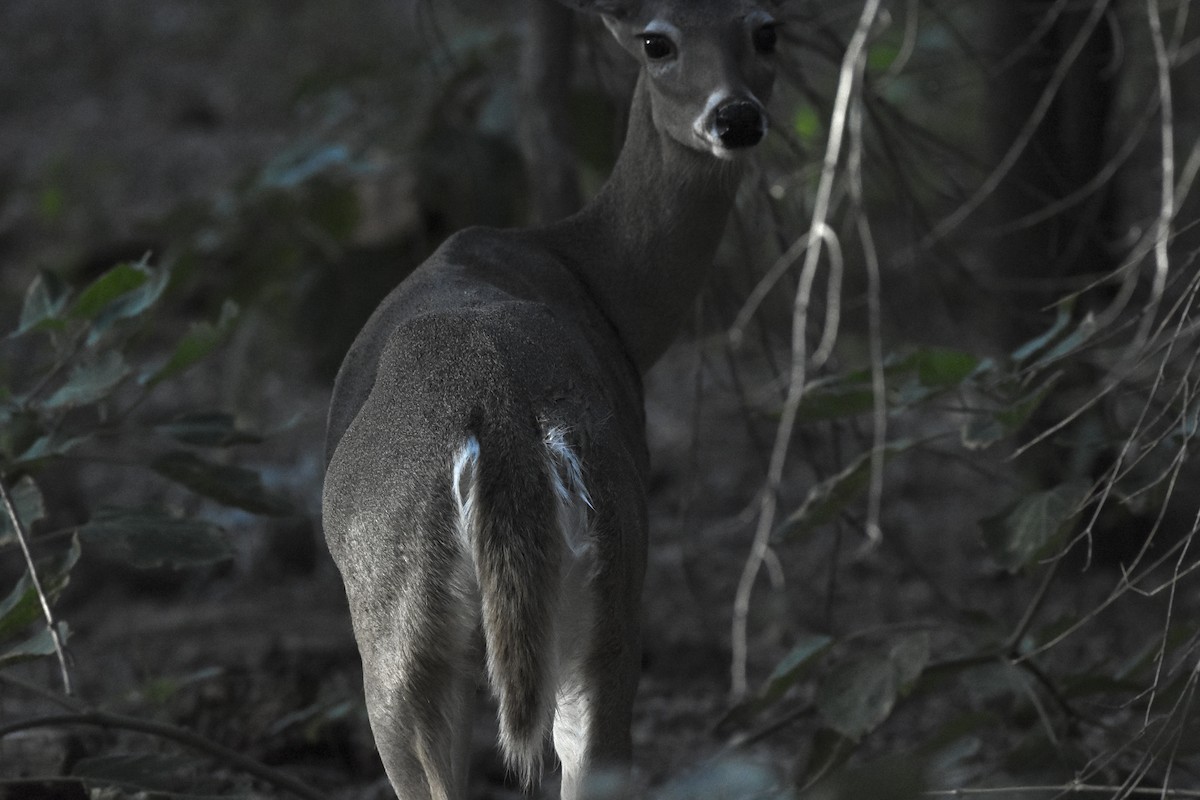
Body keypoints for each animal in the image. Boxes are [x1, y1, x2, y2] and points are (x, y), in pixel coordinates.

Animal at [321, 1, 782, 797]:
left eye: (765, 30)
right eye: (655, 41)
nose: (736, 116)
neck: (595, 283)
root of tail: (498, 412)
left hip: (392, 621)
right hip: (610, 581)